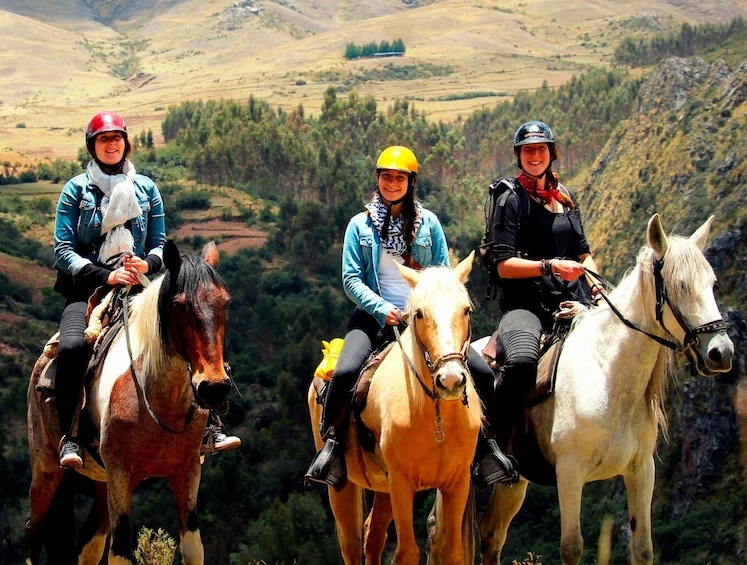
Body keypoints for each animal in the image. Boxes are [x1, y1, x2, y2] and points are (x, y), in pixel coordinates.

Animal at [25, 240, 231, 560]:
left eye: (225, 303)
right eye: (179, 305)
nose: (214, 388)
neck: (160, 404)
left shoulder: (187, 472)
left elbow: (193, 548)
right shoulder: (121, 475)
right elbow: (120, 552)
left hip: (101, 481)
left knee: (89, 544)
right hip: (46, 471)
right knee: (32, 535)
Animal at [306, 252, 482, 564]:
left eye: (466, 311)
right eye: (419, 313)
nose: (450, 379)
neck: (437, 420)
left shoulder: (457, 483)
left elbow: (453, 552)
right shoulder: (402, 485)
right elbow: (406, 553)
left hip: (383, 489)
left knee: (373, 536)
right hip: (342, 486)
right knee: (351, 543)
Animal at [470, 213, 732, 564]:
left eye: (713, 284)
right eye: (680, 285)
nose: (722, 352)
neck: (607, 376)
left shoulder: (641, 470)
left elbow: (643, 548)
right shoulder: (569, 473)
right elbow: (571, 547)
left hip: (515, 481)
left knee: (491, 534)